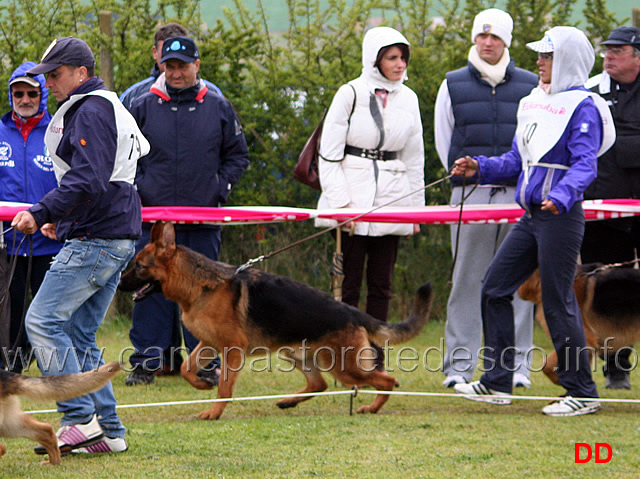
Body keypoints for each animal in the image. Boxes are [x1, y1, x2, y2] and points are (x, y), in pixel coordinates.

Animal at [119, 221, 436, 420]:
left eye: (139, 266)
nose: (119, 284)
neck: (202, 286)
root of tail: (352, 312)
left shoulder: (232, 350)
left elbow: (224, 387)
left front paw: (214, 412)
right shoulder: (208, 344)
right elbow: (186, 368)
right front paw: (200, 385)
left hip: (345, 369)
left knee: (386, 379)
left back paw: (372, 407)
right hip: (297, 354)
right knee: (320, 384)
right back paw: (288, 401)